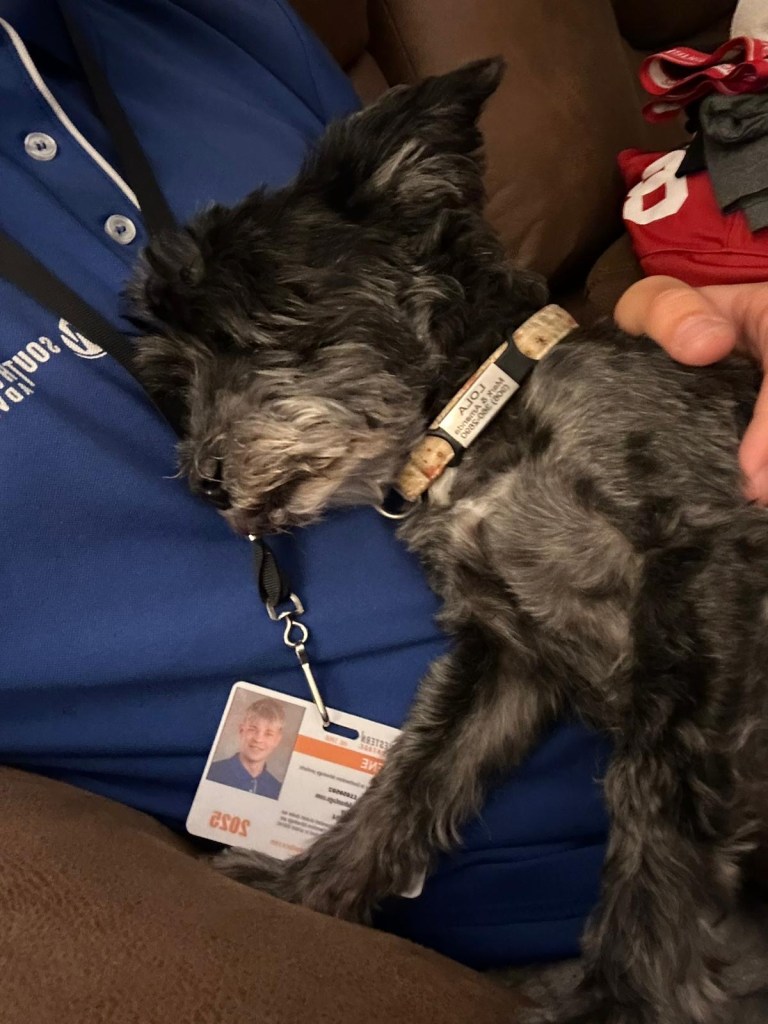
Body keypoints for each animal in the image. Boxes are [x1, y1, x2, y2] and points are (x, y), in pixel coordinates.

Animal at [129, 59, 768, 1024]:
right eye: (177, 384)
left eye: (243, 333)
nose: (204, 481)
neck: (477, 421)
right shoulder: (508, 657)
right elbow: (414, 780)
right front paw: (304, 889)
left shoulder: (701, 555)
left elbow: (659, 803)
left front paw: (627, 993)